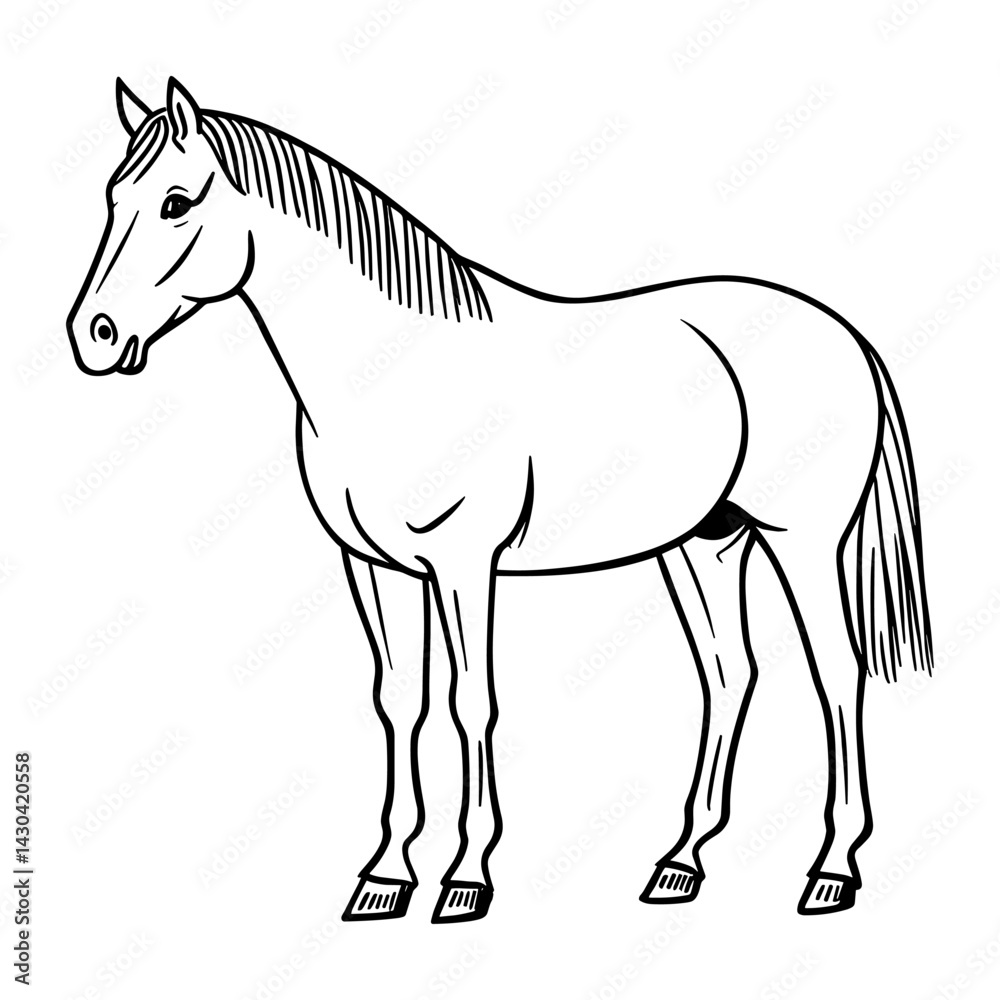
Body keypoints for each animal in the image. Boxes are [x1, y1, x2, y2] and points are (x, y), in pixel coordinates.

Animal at [66, 78, 933, 923]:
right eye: (112, 197)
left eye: (177, 201)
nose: (93, 337)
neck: (394, 370)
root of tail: (843, 332)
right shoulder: (374, 568)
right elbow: (399, 702)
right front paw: (385, 877)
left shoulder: (463, 564)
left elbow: (468, 702)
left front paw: (465, 878)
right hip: (703, 544)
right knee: (728, 677)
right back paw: (680, 864)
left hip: (802, 540)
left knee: (836, 675)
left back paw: (832, 871)